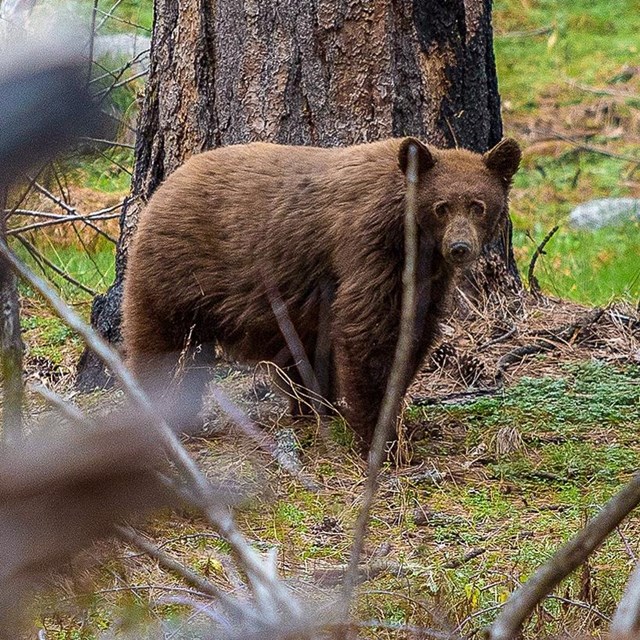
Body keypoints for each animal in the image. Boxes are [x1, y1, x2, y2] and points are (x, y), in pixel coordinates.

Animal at [121, 137, 520, 450]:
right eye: (442, 207)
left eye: (478, 205)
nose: (459, 247)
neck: (412, 237)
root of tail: (164, 185)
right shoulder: (369, 249)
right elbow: (366, 331)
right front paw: (378, 432)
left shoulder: (426, 278)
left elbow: (415, 333)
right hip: (178, 276)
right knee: (162, 345)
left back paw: (309, 408)